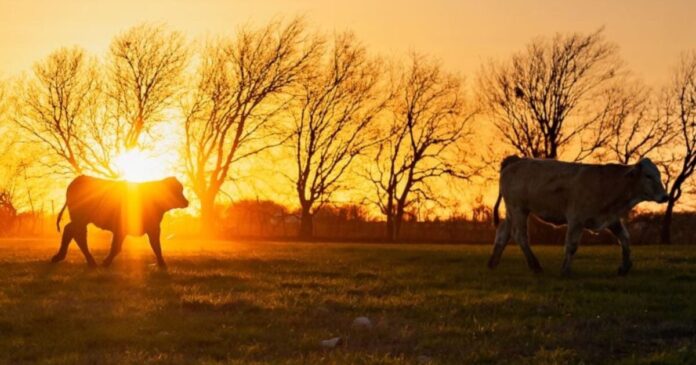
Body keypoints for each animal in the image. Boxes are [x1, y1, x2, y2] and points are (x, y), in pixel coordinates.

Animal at [486, 155, 672, 274]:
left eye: (659, 174)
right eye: (648, 176)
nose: (665, 196)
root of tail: (515, 160)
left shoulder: (612, 219)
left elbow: (625, 240)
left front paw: (625, 267)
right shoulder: (576, 219)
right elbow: (572, 245)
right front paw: (565, 270)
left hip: (512, 211)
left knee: (503, 233)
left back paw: (493, 263)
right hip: (518, 209)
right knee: (520, 236)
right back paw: (535, 265)